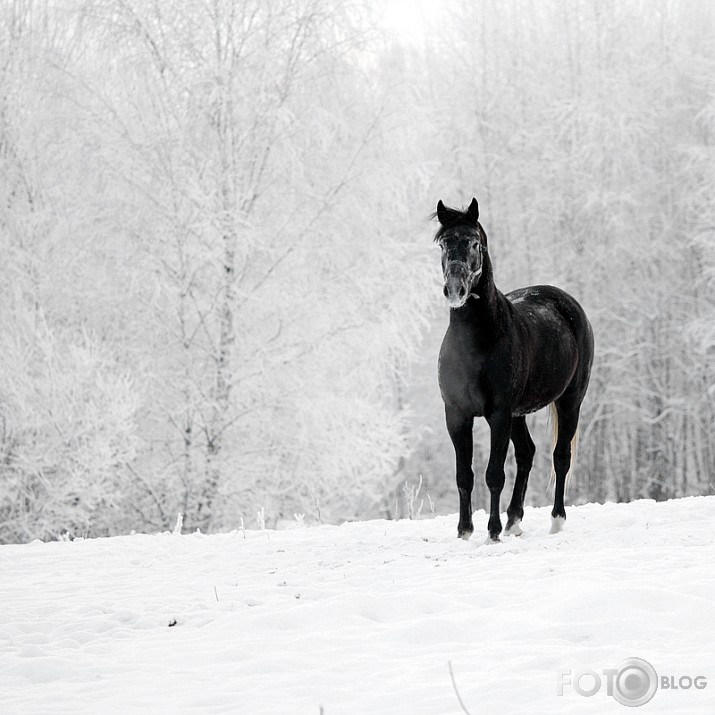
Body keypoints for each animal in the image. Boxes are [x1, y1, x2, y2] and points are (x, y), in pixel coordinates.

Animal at [436, 197, 592, 544]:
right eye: (442, 243)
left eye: (475, 242)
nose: (456, 289)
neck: (478, 342)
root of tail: (565, 301)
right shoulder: (457, 415)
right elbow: (464, 475)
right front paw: (464, 531)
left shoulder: (498, 414)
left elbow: (494, 474)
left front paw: (492, 533)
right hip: (518, 414)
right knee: (527, 453)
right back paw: (514, 521)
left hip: (569, 401)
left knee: (560, 457)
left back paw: (555, 521)